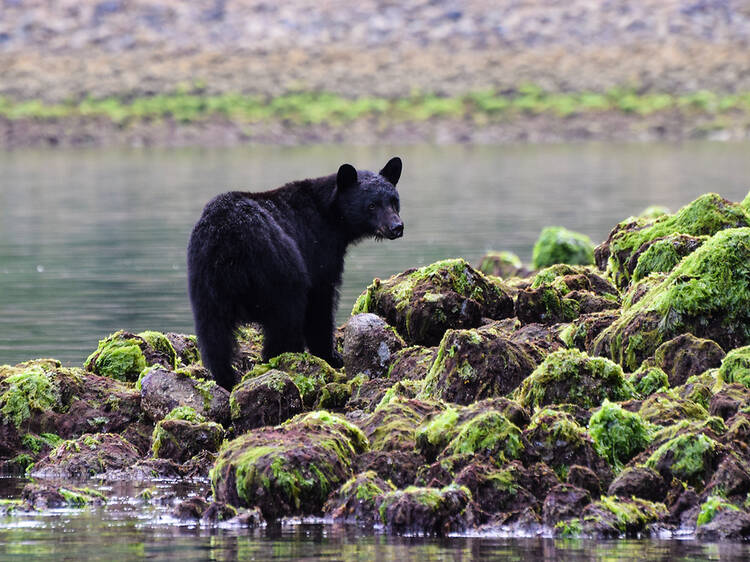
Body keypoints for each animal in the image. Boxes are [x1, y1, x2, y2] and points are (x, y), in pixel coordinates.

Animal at [187, 155, 406, 388]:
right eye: (372, 205)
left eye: (394, 201)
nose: (396, 227)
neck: (330, 215)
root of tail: (230, 238)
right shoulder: (318, 249)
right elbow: (321, 300)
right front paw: (331, 355)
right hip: (278, 265)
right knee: (287, 313)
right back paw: (284, 356)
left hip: (205, 279)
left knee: (213, 333)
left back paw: (226, 378)